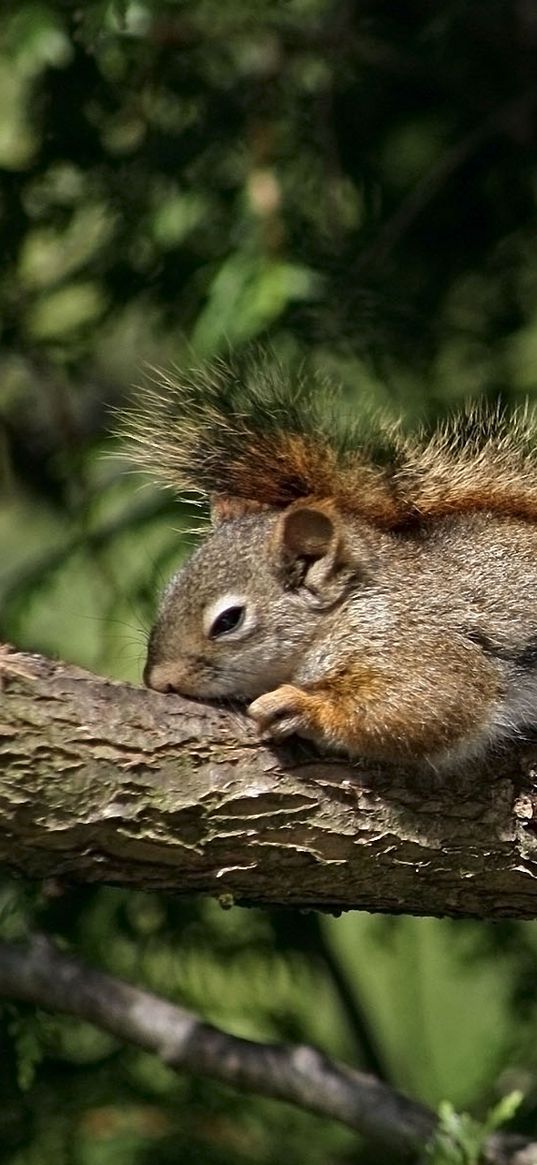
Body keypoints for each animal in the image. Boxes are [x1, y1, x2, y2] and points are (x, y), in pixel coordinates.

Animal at [120, 354, 537, 773]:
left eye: (229, 621)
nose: (158, 681)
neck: (347, 609)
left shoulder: (420, 643)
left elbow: (435, 699)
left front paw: (302, 707)